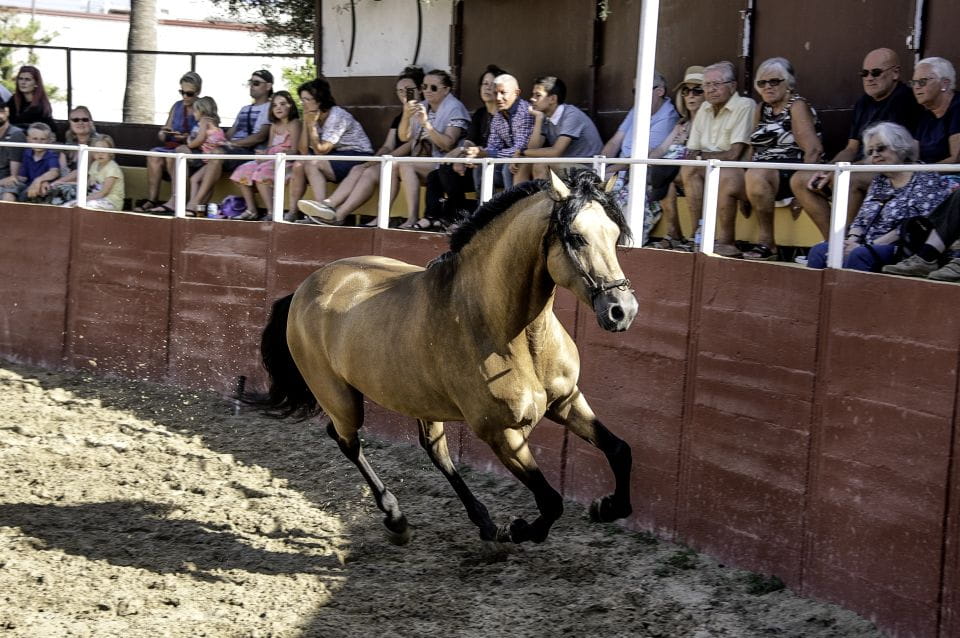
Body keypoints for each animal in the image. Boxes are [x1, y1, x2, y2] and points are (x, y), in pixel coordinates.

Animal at [251, 168, 639, 545]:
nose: (622, 310)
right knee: (347, 440)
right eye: (575, 237)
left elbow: (620, 450)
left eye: (615, 235)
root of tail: (304, 288)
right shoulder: (502, 434)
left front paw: (607, 507)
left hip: (421, 402)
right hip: (340, 398)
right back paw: (397, 519)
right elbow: (551, 501)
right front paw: (518, 529)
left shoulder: (567, 400)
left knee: (435, 452)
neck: (507, 332)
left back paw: (482, 523)